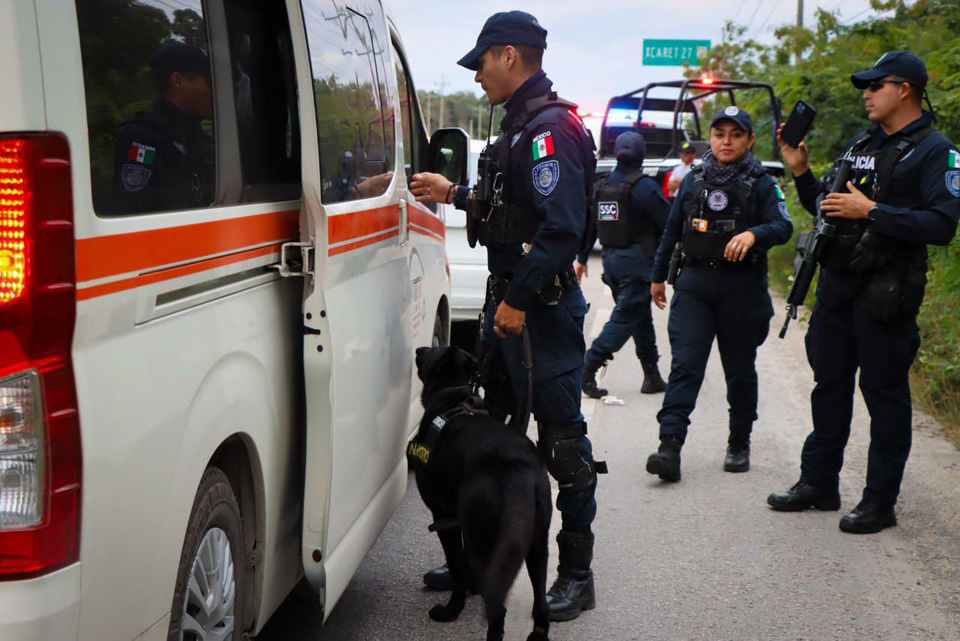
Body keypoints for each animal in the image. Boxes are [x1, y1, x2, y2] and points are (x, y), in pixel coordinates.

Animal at [408, 344, 552, 640]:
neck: (453, 396)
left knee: (498, 609)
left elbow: (457, 565)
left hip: (483, 538)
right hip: (537, 542)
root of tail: (518, 466)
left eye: (433, 350)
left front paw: (452, 610)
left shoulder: (444, 518)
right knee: (541, 605)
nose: (418, 348)